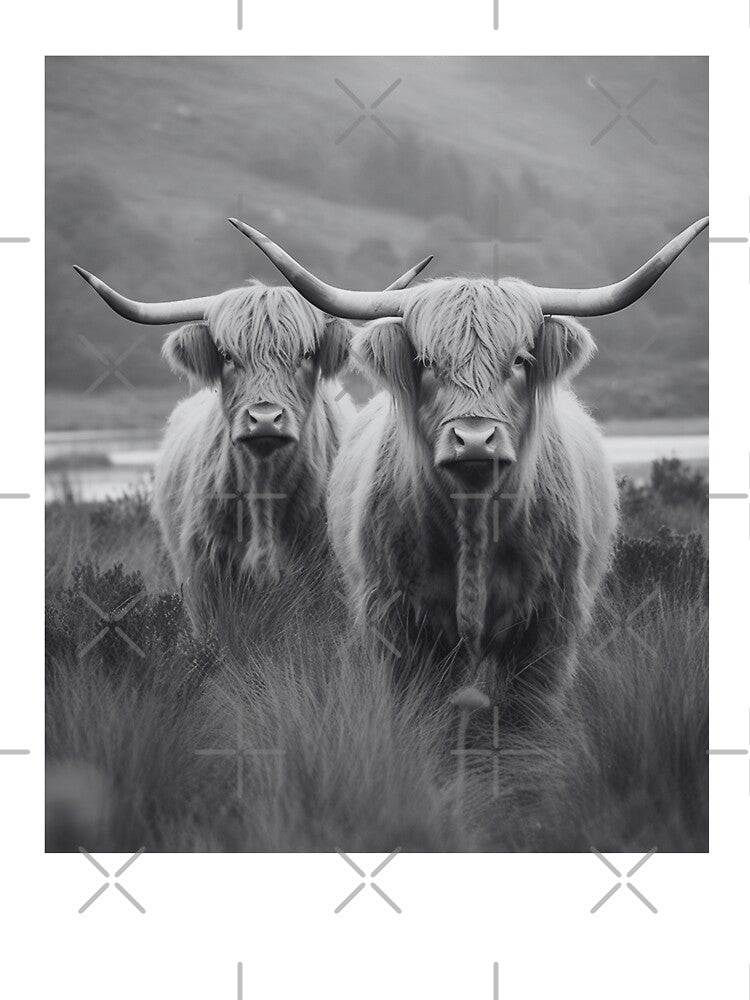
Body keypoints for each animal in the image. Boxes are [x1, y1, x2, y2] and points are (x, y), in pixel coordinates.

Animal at [229, 216, 708, 718]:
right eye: (425, 362)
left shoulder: (547, 628)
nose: (474, 439)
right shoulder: (399, 624)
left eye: (520, 359)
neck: (474, 516)